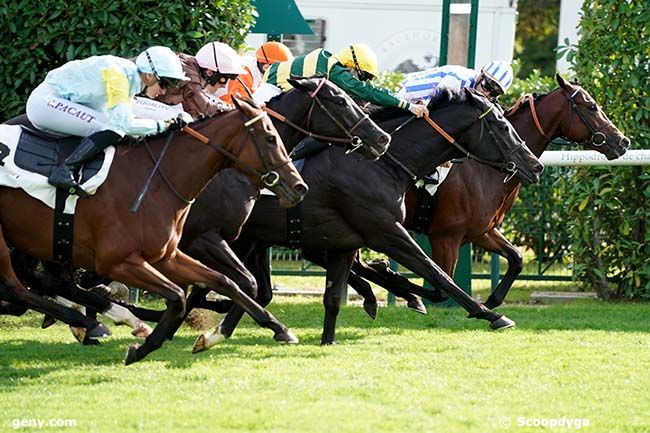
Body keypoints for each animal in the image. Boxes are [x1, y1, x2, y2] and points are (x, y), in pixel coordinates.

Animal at [0, 96, 308, 362]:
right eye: (270, 138)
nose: (299, 187)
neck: (155, 180)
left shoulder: (166, 256)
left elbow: (224, 282)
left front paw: (267, 329)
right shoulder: (120, 261)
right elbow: (178, 296)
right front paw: (144, 347)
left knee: (42, 284)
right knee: (17, 287)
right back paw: (96, 320)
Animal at [344, 75, 628, 310]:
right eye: (591, 106)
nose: (623, 141)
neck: (487, 168)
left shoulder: (482, 230)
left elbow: (516, 258)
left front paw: (492, 300)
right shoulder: (446, 236)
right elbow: (440, 287)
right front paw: (394, 278)